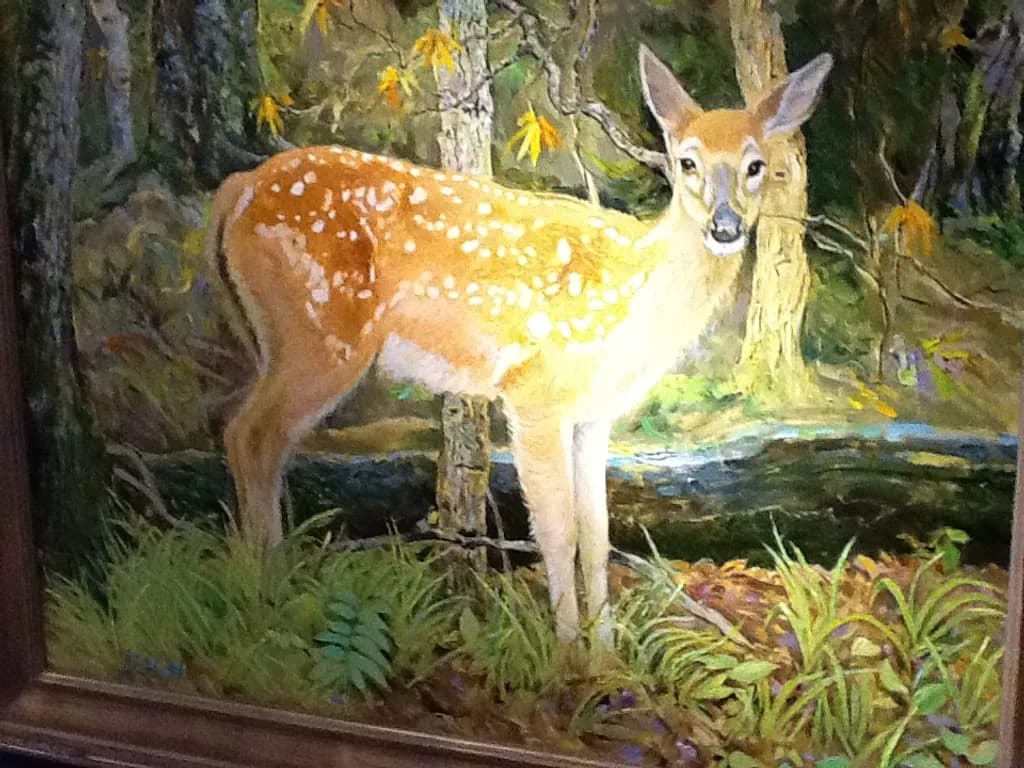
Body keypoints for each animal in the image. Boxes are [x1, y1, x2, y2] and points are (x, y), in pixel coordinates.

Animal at [205, 45, 832, 645]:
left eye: (756, 165)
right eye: (688, 161)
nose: (725, 226)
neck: (632, 298)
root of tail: (236, 189)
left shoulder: (593, 414)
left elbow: (597, 534)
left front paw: (608, 655)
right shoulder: (534, 390)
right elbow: (557, 531)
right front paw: (569, 656)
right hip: (320, 331)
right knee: (250, 436)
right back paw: (268, 596)